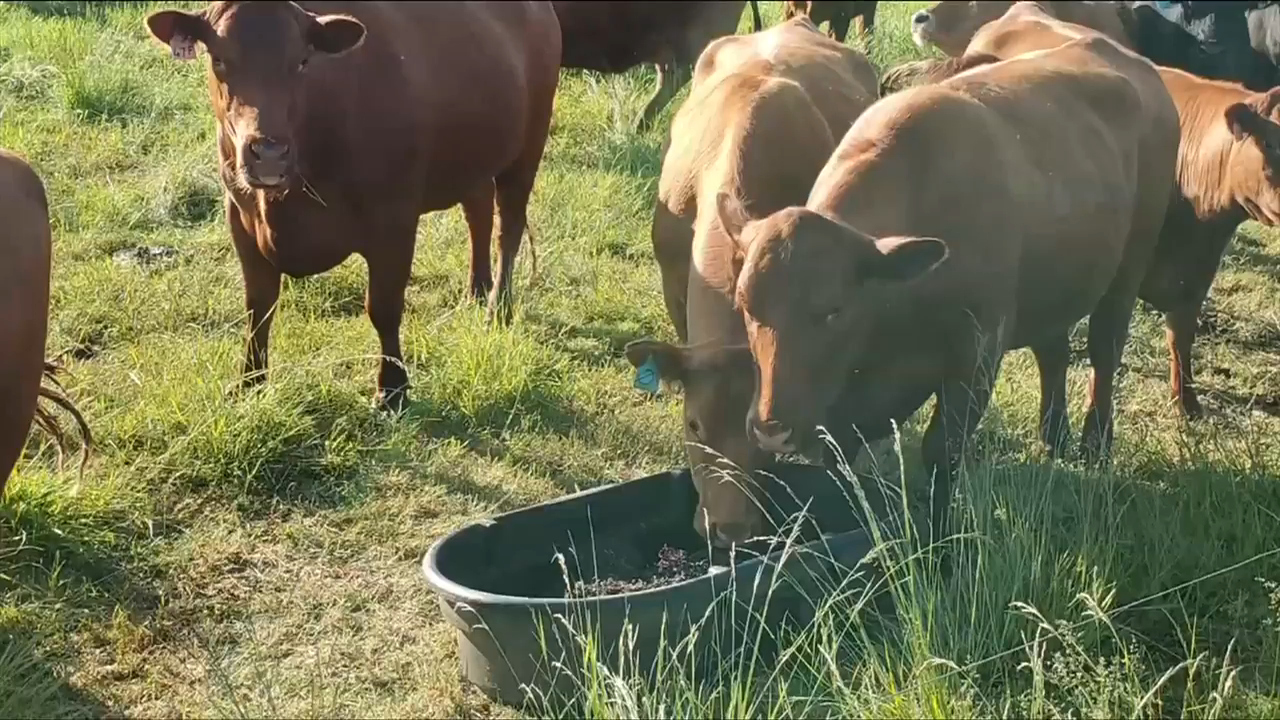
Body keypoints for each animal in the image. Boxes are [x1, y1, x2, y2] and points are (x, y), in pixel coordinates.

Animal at [143, 1, 561, 412]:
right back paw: (476, 289)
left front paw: (392, 389)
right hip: (474, 161)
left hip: (528, 146)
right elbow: (258, 307)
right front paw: (250, 382)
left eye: (302, 61)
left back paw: (498, 308)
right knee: (479, 213)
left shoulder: (394, 220)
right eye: (219, 59)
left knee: (509, 228)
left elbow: (383, 306)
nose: (269, 154)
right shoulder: (241, 217)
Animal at [726, 25, 1181, 545]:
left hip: (1127, 270)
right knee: (1053, 352)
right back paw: (1054, 436)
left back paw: (1095, 441)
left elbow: (941, 453)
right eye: (745, 305)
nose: (771, 429)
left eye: (833, 310)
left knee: (1105, 349)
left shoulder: (976, 358)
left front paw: (942, 536)